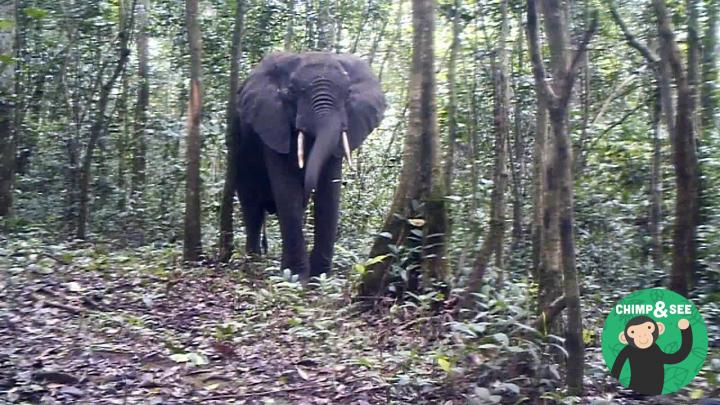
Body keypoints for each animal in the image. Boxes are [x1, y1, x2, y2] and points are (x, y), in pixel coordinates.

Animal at [233, 52, 386, 278]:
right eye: (290, 92)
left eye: (348, 93)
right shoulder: (273, 124)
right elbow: (287, 188)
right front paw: (295, 277)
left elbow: (329, 190)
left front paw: (320, 277)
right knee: (252, 208)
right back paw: (253, 261)